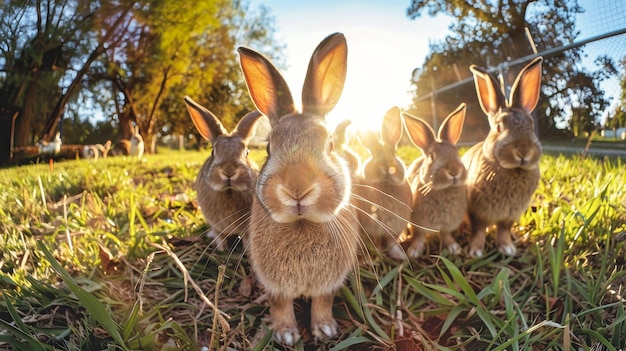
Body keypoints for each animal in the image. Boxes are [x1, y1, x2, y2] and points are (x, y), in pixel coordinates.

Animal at [184, 95, 264, 252]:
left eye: (247, 152)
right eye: (213, 152)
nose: (229, 171)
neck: (229, 192)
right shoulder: (217, 227)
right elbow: (221, 236)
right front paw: (222, 249)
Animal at [238, 33, 358, 346]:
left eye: (330, 145)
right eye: (268, 148)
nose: (297, 189)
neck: (302, 224)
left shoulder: (329, 284)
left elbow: (322, 302)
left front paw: (325, 329)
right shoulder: (275, 286)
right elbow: (280, 306)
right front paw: (287, 335)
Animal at [352, 107, 414, 262]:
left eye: (393, 152)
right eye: (373, 154)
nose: (386, 167)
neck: (385, 185)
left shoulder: (395, 229)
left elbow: (392, 243)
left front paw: (400, 256)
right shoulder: (373, 230)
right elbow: (377, 244)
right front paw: (373, 259)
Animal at [402, 103, 466, 258]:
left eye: (456, 153)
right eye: (431, 156)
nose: (454, 171)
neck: (444, 190)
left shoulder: (448, 225)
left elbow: (446, 235)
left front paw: (454, 248)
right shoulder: (418, 223)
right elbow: (419, 236)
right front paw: (413, 251)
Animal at [464, 56, 540, 258]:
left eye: (531, 126)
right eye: (498, 127)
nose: (523, 151)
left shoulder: (509, 216)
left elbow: (504, 231)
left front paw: (507, 248)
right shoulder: (477, 212)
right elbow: (478, 231)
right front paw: (475, 251)